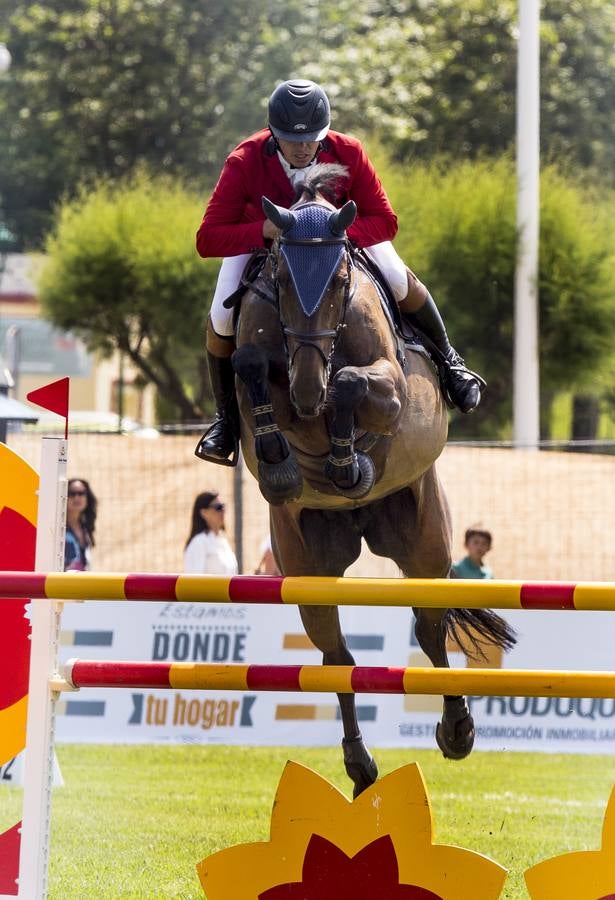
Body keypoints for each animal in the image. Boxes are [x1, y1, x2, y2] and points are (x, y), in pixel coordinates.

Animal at [226, 165, 516, 800]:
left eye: (339, 281)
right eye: (280, 279)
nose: (306, 387)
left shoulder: (389, 389)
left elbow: (353, 385)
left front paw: (346, 458)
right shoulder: (266, 371)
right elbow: (252, 368)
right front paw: (285, 461)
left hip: (424, 542)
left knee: (430, 631)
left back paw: (457, 731)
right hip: (306, 566)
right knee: (336, 656)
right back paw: (359, 765)